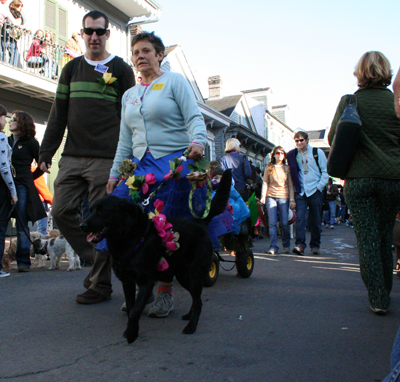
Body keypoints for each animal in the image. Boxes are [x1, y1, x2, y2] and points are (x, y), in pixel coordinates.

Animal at [80, 169, 233, 344]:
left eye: (102, 211)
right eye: (91, 210)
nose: (82, 225)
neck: (131, 239)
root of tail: (200, 223)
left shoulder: (146, 282)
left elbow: (135, 310)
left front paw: (132, 335)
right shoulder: (127, 282)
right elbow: (131, 308)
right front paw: (130, 330)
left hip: (194, 274)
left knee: (199, 301)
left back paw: (191, 327)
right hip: (183, 276)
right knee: (196, 299)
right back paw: (189, 316)